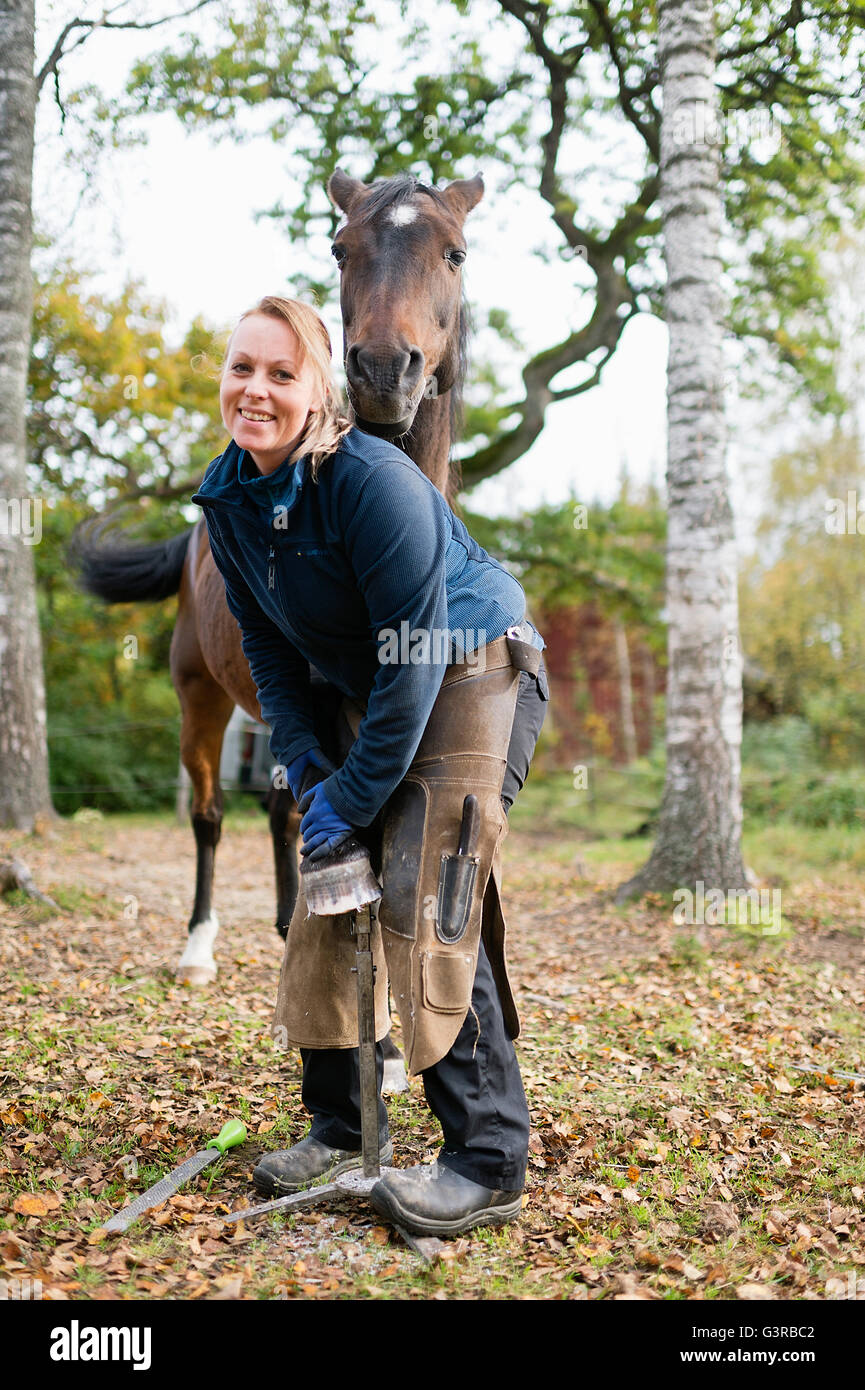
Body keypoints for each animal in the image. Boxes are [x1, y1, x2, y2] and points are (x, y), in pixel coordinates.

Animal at [77, 173, 483, 1078]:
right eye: (340, 247)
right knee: (210, 815)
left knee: (279, 809)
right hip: (201, 696)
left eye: (455, 252)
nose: (381, 370)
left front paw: (388, 1043)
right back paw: (199, 949)